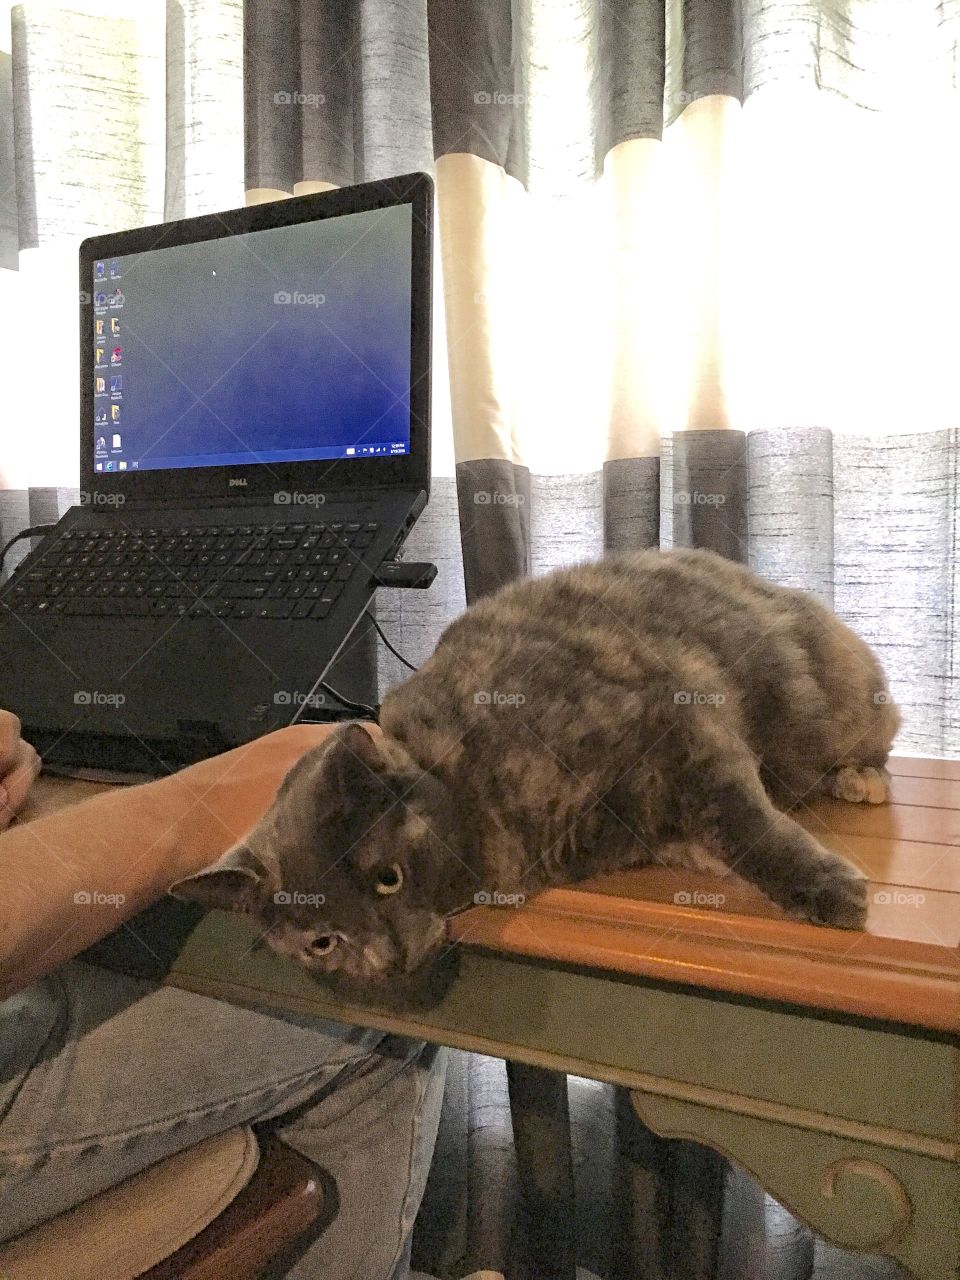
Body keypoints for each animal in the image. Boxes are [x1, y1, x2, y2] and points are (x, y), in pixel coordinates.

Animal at [172, 550, 901, 1008]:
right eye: (322, 942)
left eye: (389, 878)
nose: (387, 959)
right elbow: (715, 834)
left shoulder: (684, 725)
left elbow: (745, 824)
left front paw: (828, 890)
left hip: (842, 693)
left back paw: (858, 780)